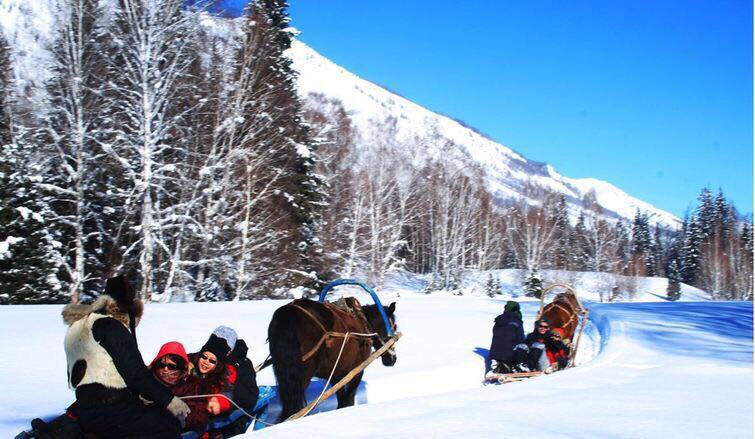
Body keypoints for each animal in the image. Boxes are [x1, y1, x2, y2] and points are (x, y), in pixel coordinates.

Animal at [268, 300, 398, 422]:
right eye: (394, 326)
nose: (393, 359)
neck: (364, 323)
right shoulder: (357, 370)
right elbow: (349, 398)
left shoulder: (336, 373)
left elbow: (341, 398)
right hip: (303, 375)